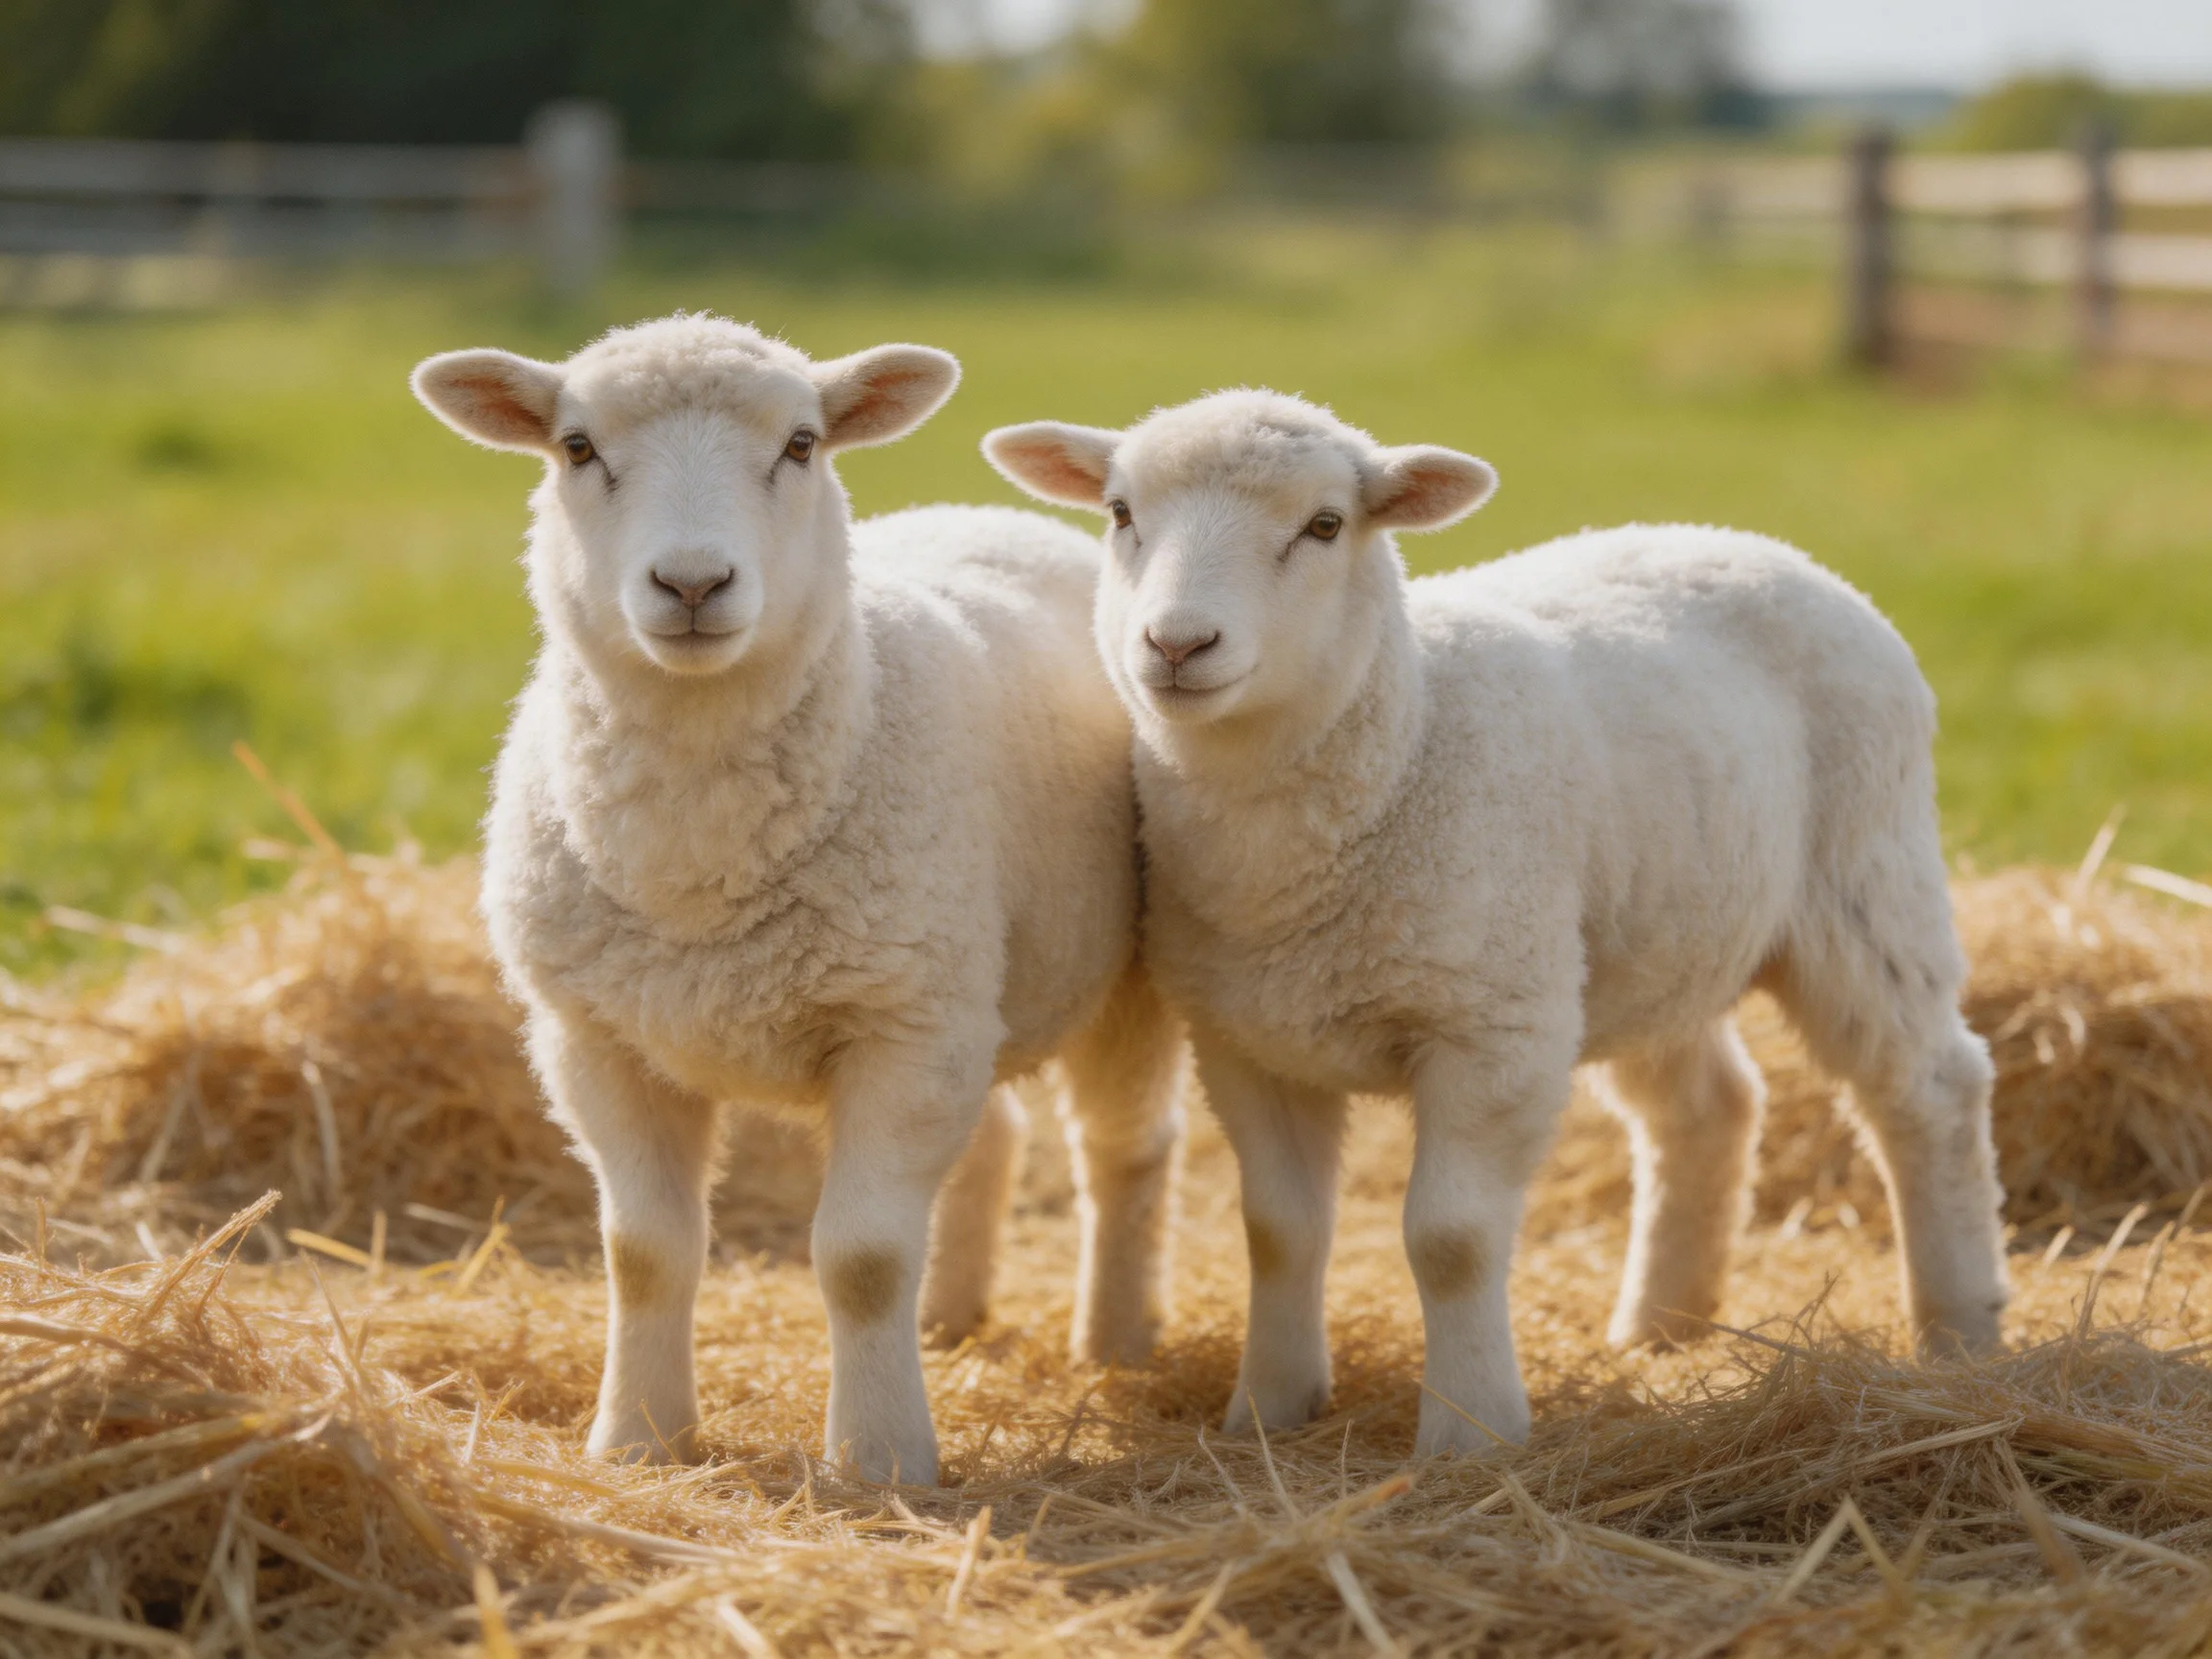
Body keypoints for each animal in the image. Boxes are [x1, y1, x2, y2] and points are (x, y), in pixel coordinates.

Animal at [410, 315, 1183, 1484]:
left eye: (802, 444)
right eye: (577, 447)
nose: (691, 583)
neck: (699, 869)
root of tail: (989, 513)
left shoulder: (899, 1028)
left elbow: (861, 1257)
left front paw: (880, 1463)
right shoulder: (596, 1040)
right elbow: (644, 1252)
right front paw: (639, 1438)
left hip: (1111, 972)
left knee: (1122, 1149)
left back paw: (1117, 1342)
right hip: (964, 983)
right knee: (994, 1134)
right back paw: (950, 1315)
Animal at [983, 389, 2009, 1459]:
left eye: (1325, 525)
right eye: (1120, 513)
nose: (1178, 645)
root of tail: (1752, 542)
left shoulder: (1491, 1030)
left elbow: (1451, 1239)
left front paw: (1470, 1431)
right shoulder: (1248, 1041)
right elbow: (1279, 1231)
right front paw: (1270, 1409)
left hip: (1864, 884)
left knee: (1930, 1087)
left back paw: (1959, 1331)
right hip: (1639, 942)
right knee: (1708, 1107)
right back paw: (1663, 1329)